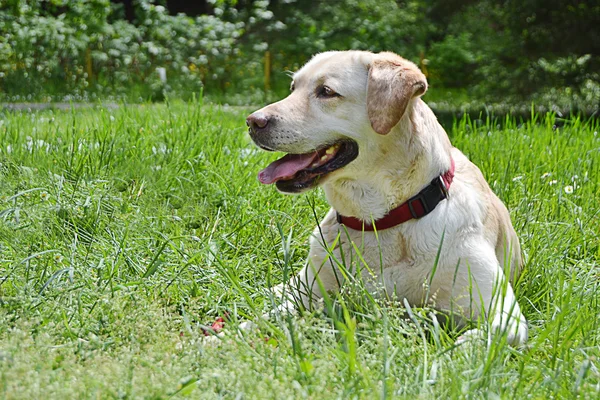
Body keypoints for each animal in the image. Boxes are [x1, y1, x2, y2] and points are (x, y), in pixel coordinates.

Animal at [246, 49, 528, 344]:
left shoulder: (505, 313)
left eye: (326, 92)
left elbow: (482, 337)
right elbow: (259, 321)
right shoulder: (310, 295)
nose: (253, 122)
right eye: (293, 88)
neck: (382, 221)